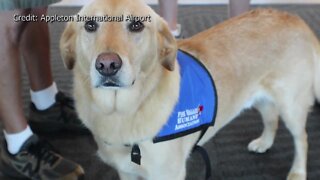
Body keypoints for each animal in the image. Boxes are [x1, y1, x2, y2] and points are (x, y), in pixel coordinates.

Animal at [59, 0, 320, 179]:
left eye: (136, 25)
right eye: (90, 25)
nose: (107, 65)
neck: (121, 113)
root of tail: (293, 17)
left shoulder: (169, 174)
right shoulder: (127, 173)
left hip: (292, 104)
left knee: (302, 138)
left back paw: (298, 172)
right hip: (261, 96)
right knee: (271, 118)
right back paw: (264, 142)